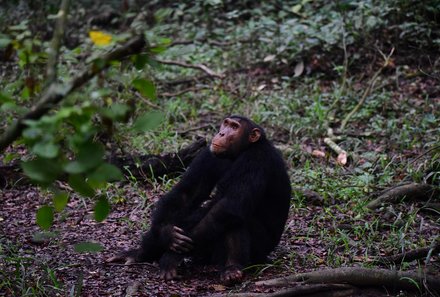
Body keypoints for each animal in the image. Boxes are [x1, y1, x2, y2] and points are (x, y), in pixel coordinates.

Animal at [107, 114, 292, 284]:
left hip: (260, 250)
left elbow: (229, 204)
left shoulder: (256, 159)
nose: (221, 133)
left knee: (232, 215)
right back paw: (140, 253)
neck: (239, 152)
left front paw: (171, 257)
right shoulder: (208, 155)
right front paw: (165, 234)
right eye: (226, 123)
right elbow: (188, 192)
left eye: (235, 127)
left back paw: (232, 269)